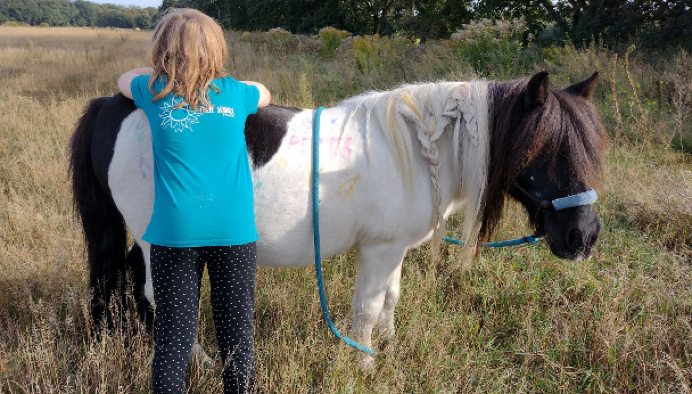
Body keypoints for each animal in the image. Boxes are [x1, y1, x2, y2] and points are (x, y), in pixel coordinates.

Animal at [67, 71, 604, 354]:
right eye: (544, 148)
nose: (585, 236)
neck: (419, 150)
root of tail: (114, 103)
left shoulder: (392, 251)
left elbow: (389, 301)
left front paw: (388, 349)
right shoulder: (379, 250)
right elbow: (366, 308)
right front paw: (364, 363)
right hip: (159, 241)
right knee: (156, 295)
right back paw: (198, 358)